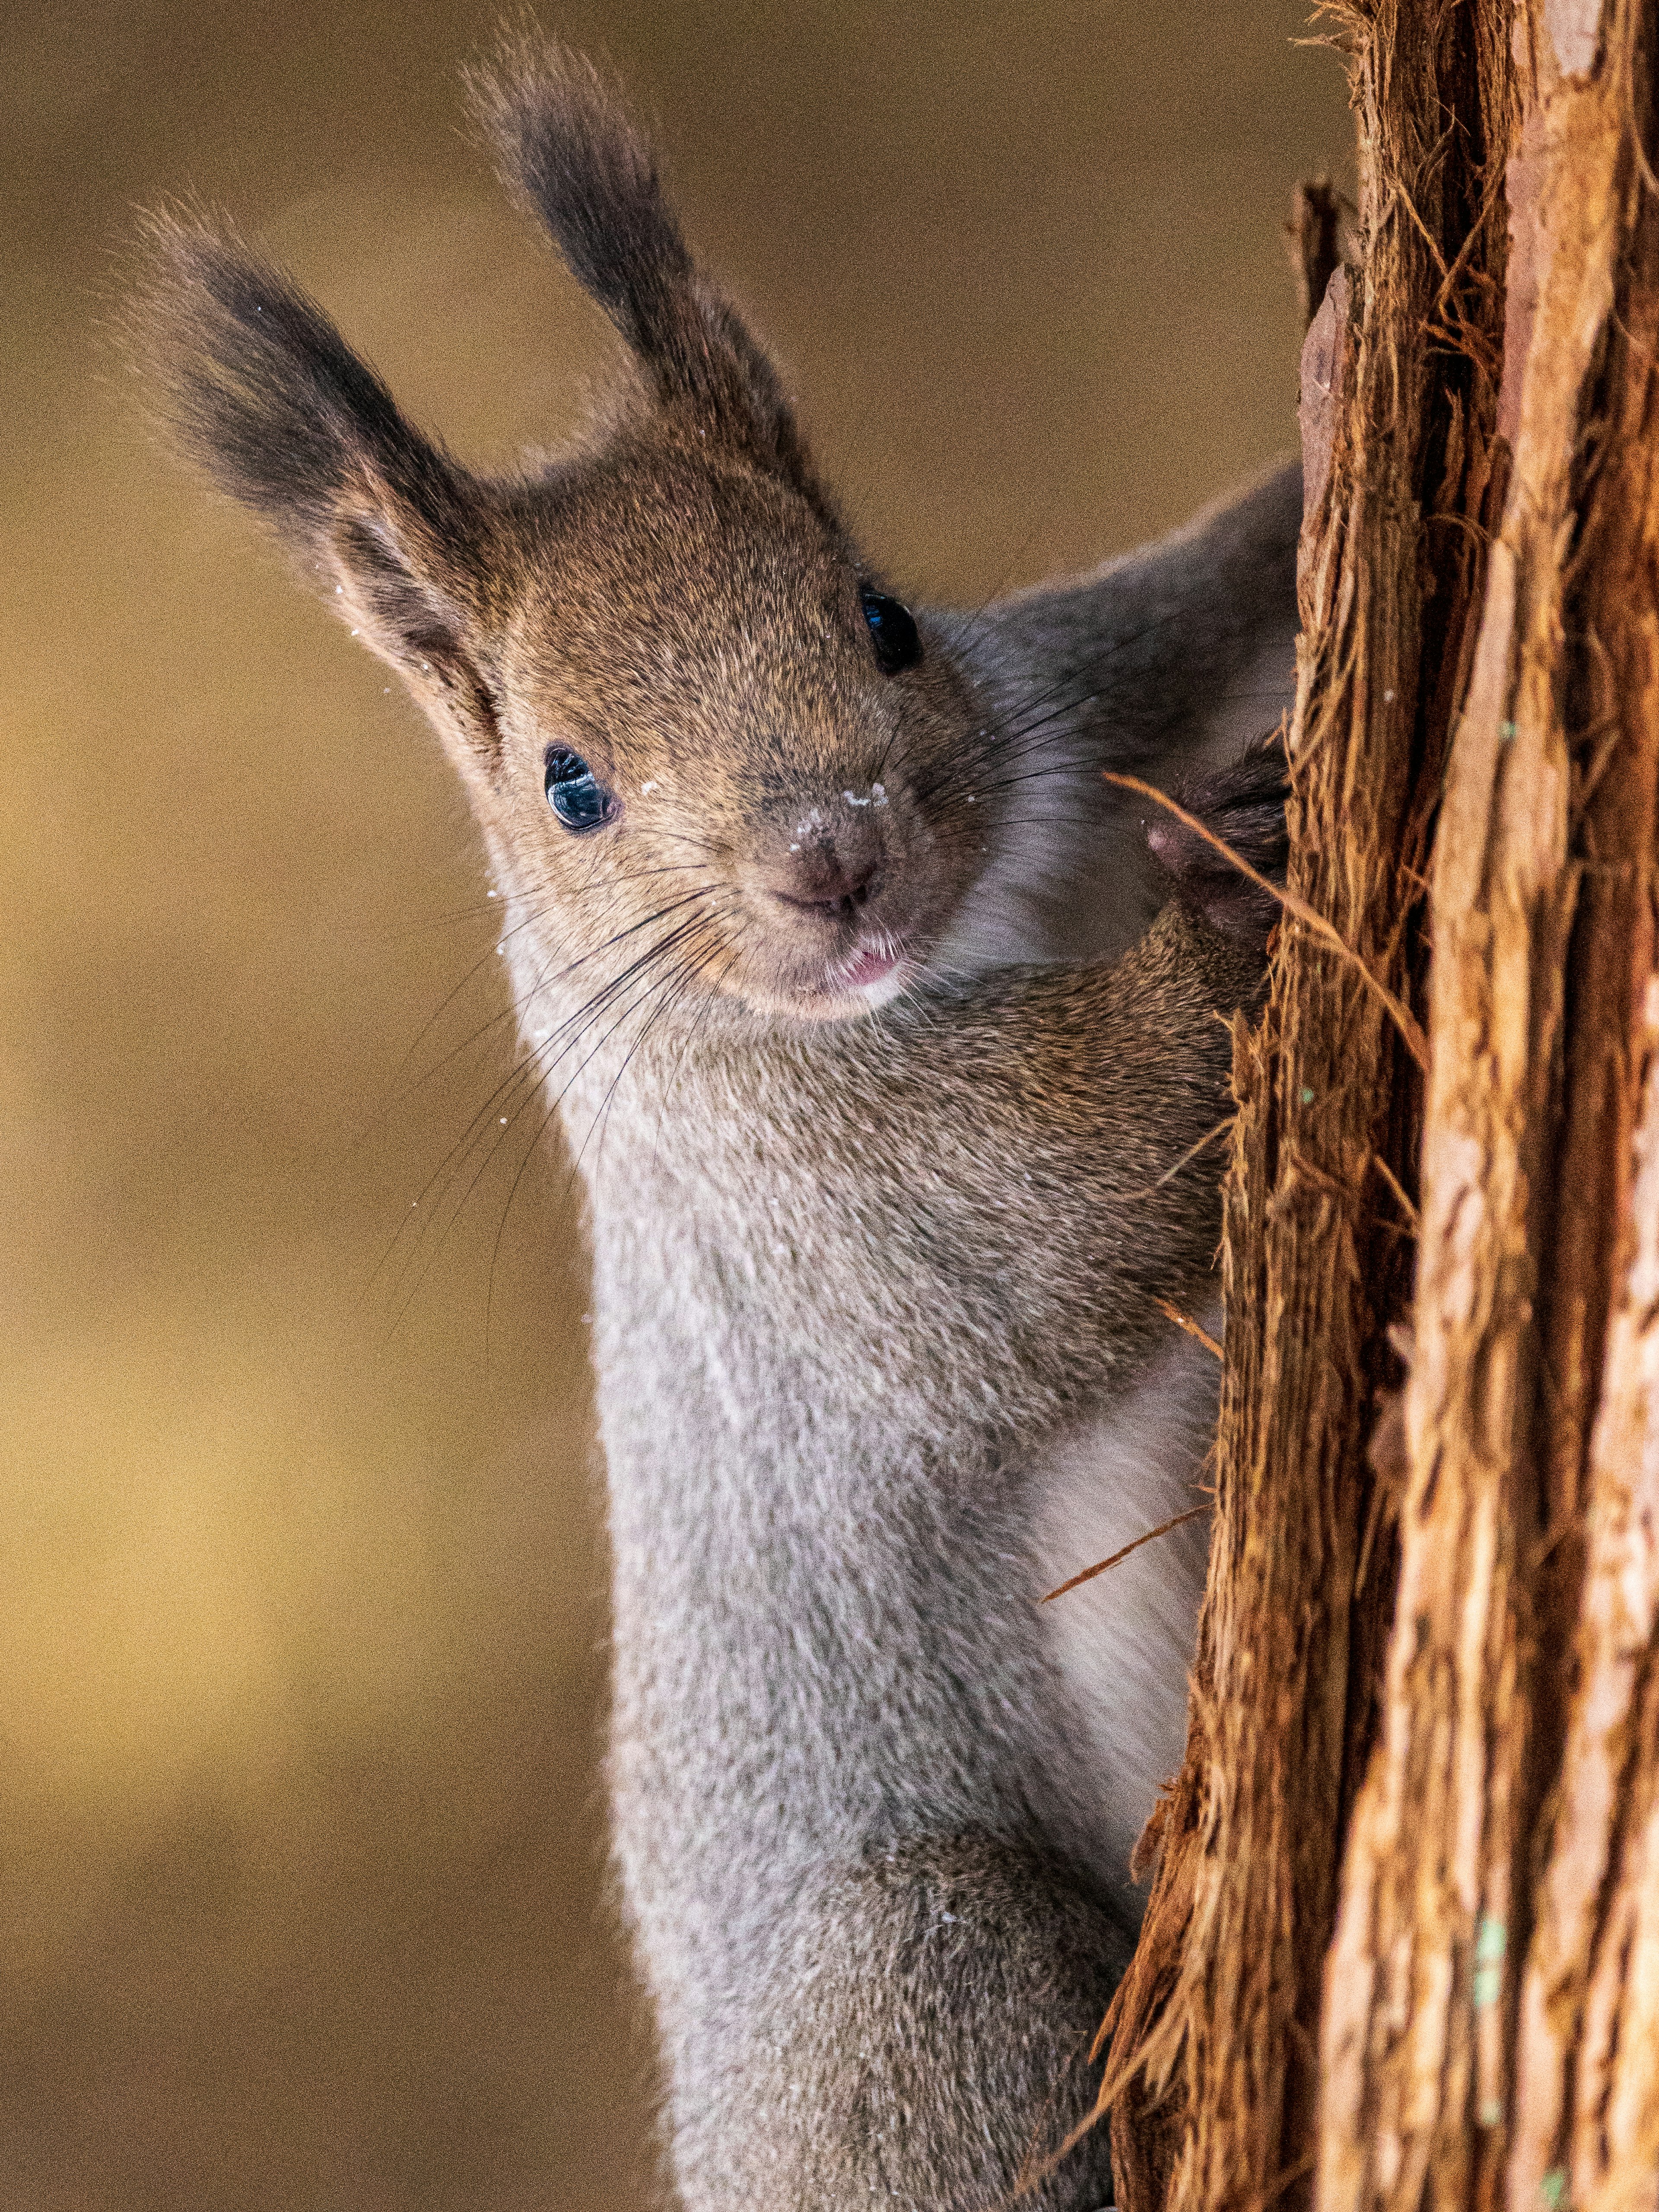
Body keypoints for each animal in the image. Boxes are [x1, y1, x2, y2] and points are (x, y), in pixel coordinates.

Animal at [137, 39, 1309, 2212]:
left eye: (885, 618)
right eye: (569, 781)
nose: (832, 861)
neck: (969, 925)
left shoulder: (1068, 686)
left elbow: (1198, 601)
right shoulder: (814, 1189)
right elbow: (1063, 1198)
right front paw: (1217, 910)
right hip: (916, 1985)